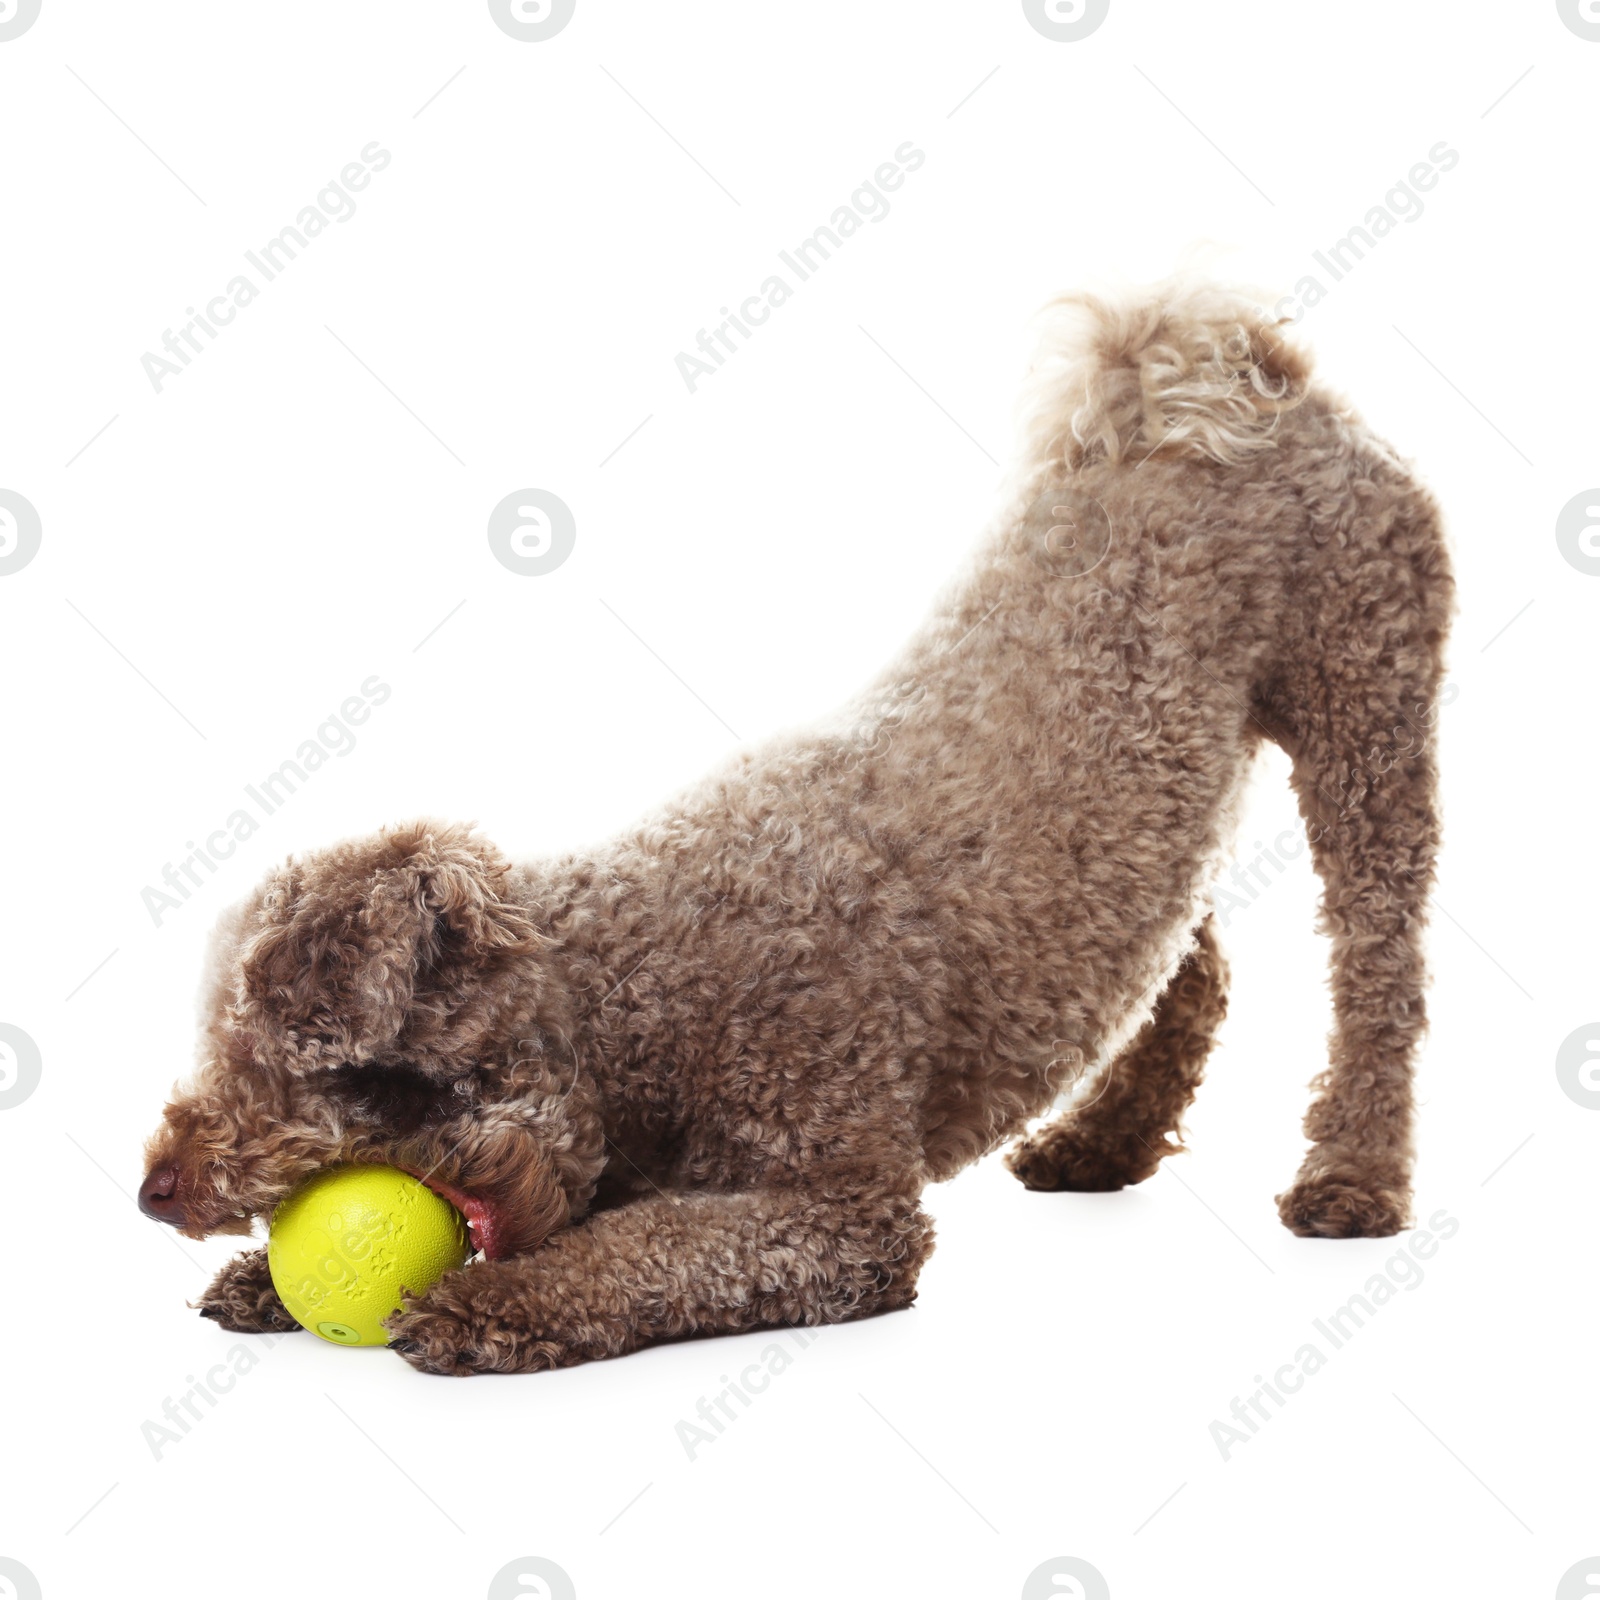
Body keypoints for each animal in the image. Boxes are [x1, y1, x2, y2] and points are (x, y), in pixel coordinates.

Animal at [144, 281, 1459, 1369]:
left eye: (293, 1060)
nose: (156, 1186)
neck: (627, 999)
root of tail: (1252, 373)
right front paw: (263, 1278)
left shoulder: (839, 1210)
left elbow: (649, 1252)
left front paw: (494, 1306)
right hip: (1160, 829)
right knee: (1187, 962)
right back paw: (1102, 1142)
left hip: (1366, 709)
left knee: (1377, 968)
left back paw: (1351, 1177)